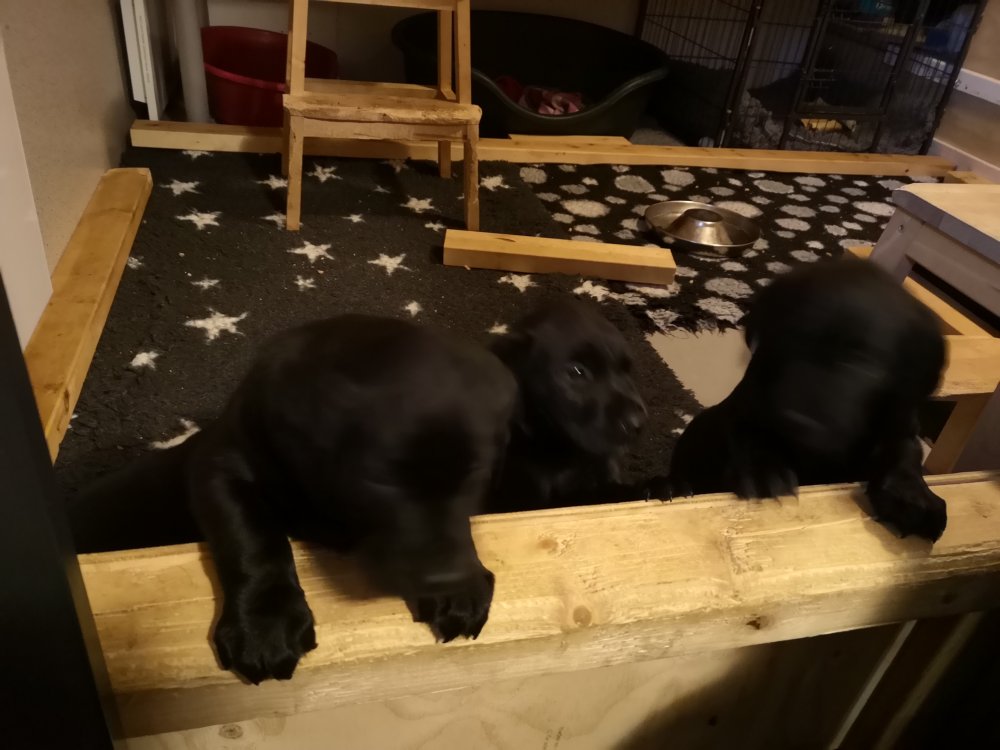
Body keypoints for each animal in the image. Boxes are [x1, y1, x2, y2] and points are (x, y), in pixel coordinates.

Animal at [71, 315, 516, 684]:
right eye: (378, 479)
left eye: (475, 474)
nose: (446, 577)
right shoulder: (219, 466)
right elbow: (252, 539)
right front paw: (265, 626)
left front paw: (462, 587)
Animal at [653, 258, 947, 541]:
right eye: (788, 339)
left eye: (861, 362)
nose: (796, 421)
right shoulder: (749, 405)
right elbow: (749, 433)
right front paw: (763, 472)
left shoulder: (901, 422)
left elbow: (904, 452)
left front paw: (913, 496)